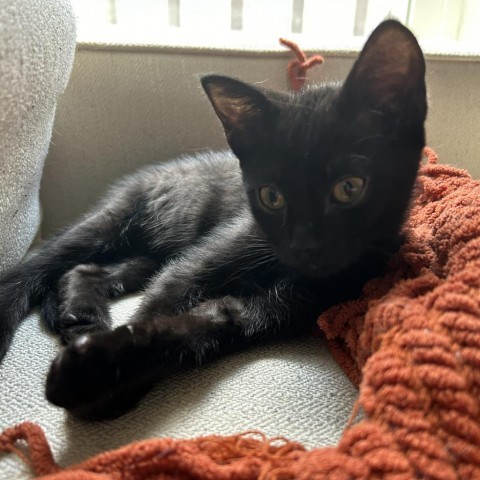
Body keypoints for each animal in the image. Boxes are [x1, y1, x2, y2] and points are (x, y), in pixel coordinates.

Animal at [0, 21, 428, 420]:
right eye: (271, 196)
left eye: (349, 187)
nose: (304, 246)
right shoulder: (199, 263)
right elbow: (158, 306)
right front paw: (105, 378)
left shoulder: (287, 307)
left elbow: (210, 324)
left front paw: (102, 377)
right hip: (113, 221)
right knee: (39, 267)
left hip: (153, 254)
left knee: (88, 269)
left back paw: (82, 319)